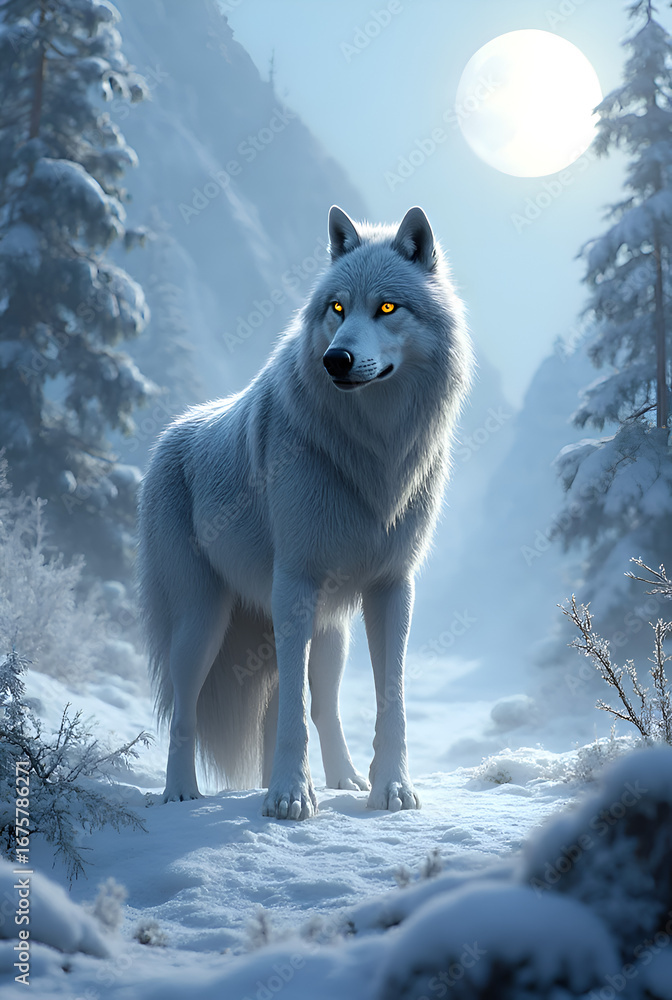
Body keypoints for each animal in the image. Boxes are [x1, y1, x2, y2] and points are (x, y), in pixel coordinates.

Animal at [136, 205, 472, 820]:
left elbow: (389, 701)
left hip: (330, 631)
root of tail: (168, 435)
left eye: (386, 307)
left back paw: (344, 780)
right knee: (184, 711)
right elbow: (291, 709)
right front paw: (289, 796)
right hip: (202, 624)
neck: (373, 450)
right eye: (336, 307)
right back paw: (180, 792)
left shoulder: (393, 586)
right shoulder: (294, 581)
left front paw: (391, 790)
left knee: (324, 708)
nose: (335, 357)